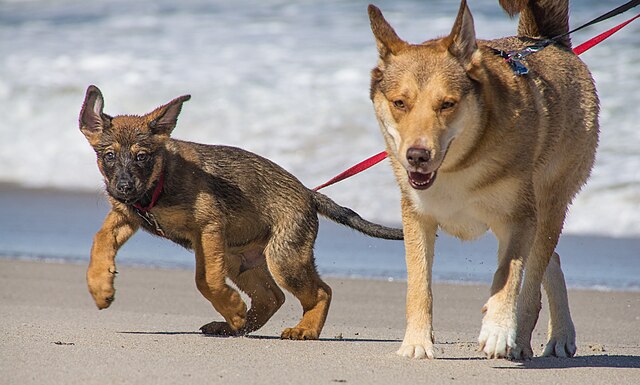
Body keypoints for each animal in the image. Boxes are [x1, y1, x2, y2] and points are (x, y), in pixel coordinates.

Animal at [79, 85, 400, 340]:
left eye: (142, 157)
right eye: (109, 156)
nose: (123, 188)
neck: (157, 186)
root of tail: (308, 192)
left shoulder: (208, 227)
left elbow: (206, 280)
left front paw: (233, 309)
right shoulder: (125, 218)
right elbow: (99, 240)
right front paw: (100, 286)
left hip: (282, 258)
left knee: (321, 292)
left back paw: (302, 328)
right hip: (240, 260)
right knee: (272, 298)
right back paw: (236, 326)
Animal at [368, 0, 596, 358]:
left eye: (447, 104)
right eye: (399, 103)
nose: (417, 156)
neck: (460, 165)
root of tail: (546, 40)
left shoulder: (518, 218)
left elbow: (508, 275)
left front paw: (498, 330)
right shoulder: (417, 217)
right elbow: (419, 284)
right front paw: (417, 343)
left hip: (548, 203)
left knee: (534, 276)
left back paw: (527, 340)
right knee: (551, 260)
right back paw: (557, 336)